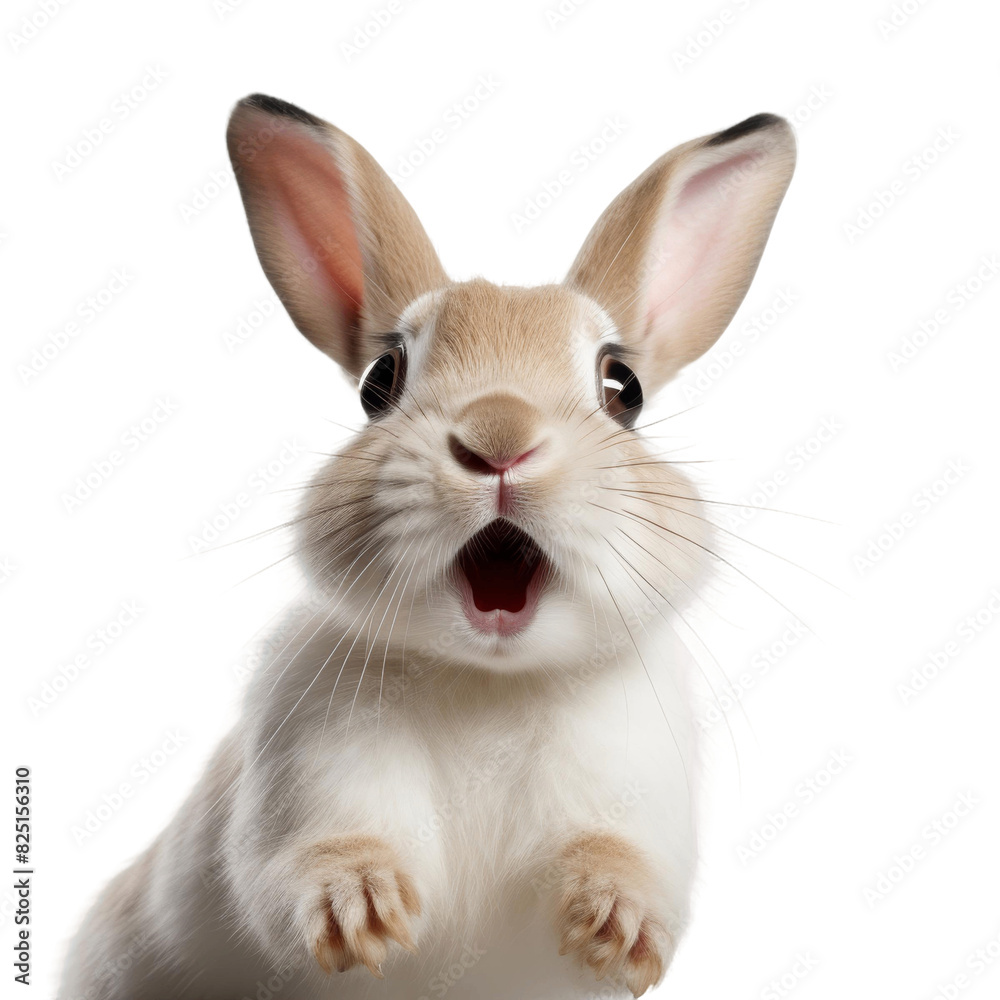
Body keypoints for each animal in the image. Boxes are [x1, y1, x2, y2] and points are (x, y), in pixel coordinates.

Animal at [59, 94, 795, 1000]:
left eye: (622, 389)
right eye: (382, 380)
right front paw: (362, 911)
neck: (489, 679)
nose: (499, 439)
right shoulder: (306, 782)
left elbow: (616, 854)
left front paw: (618, 927)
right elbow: (310, 861)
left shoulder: (633, 793)